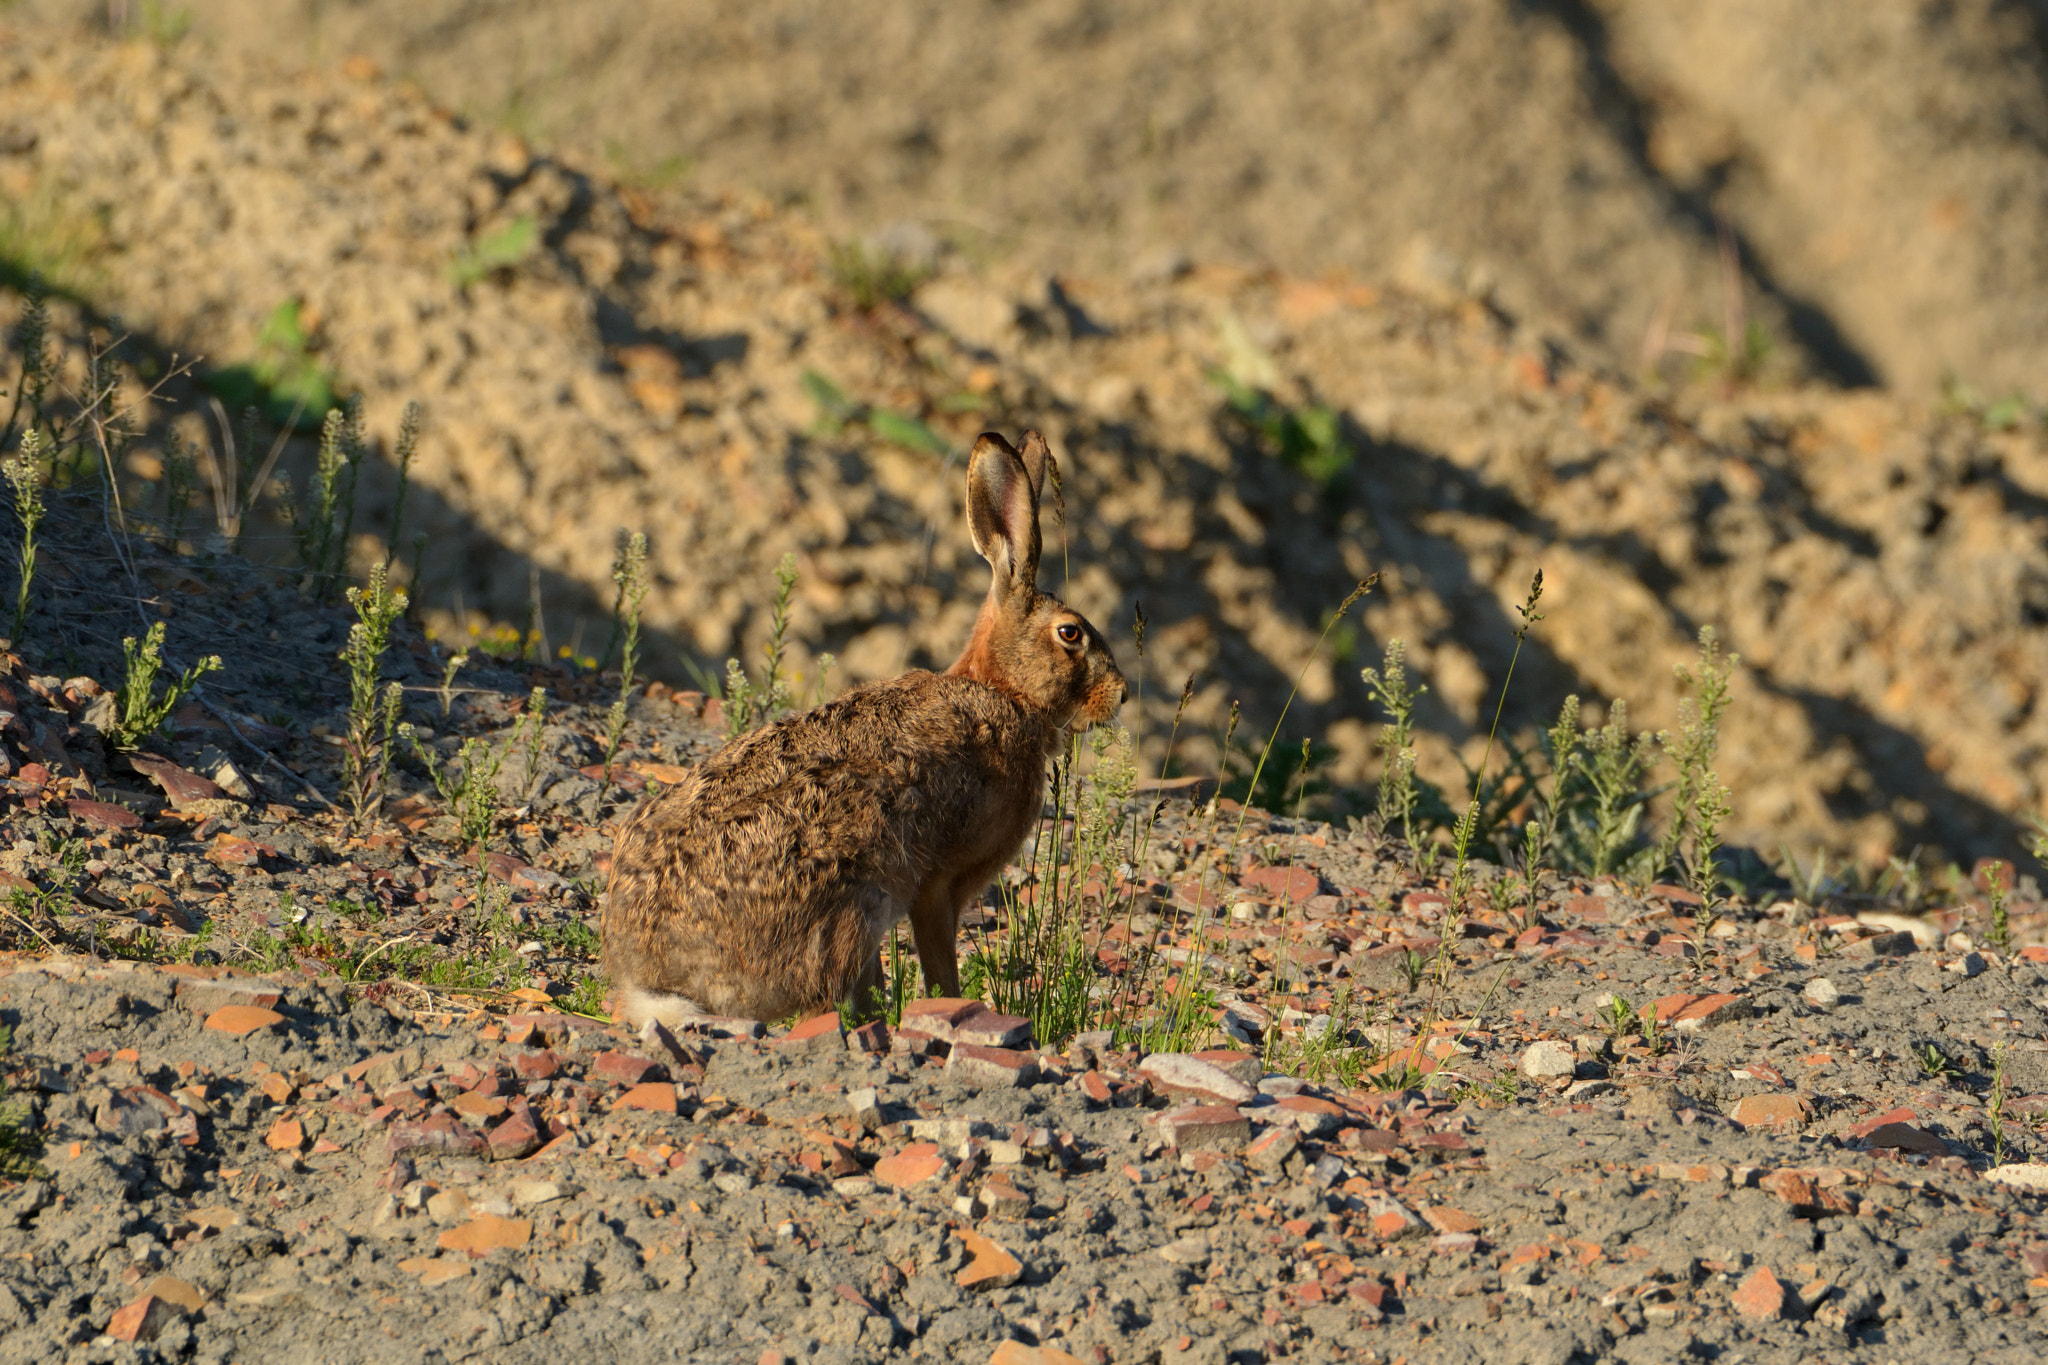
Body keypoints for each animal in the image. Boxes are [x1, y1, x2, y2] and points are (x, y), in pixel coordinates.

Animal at [603, 429, 1128, 1028]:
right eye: (1070, 634)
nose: (1121, 694)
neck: (1006, 691)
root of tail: (656, 977)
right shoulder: (937, 886)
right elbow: (939, 962)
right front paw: (952, 1003)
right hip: (856, 904)